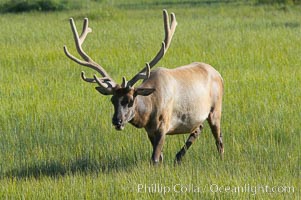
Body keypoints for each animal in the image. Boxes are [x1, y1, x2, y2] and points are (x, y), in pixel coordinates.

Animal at [63, 9, 223, 164]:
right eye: (112, 100)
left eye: (129, 100)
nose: (117, 121)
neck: (149, 111)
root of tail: (218, 74)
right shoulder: (149, 130)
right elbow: (160, 156)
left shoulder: (163, 125)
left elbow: (155, 159)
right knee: (198, 128)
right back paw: (178, 157)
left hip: (215, 109)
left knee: (218, 138)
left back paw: (220, 157)